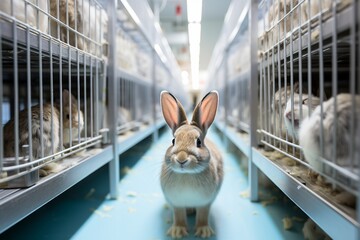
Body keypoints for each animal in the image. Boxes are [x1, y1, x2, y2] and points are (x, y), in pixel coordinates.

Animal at [160, 90, 222, 238]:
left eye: (198, 142)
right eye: (173, 141)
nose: (181, 159)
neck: (186, 174)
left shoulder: (205, 202)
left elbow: (203, 216)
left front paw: (204, 231)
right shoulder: (176, 203)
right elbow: (179, 216)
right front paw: (177, 231)